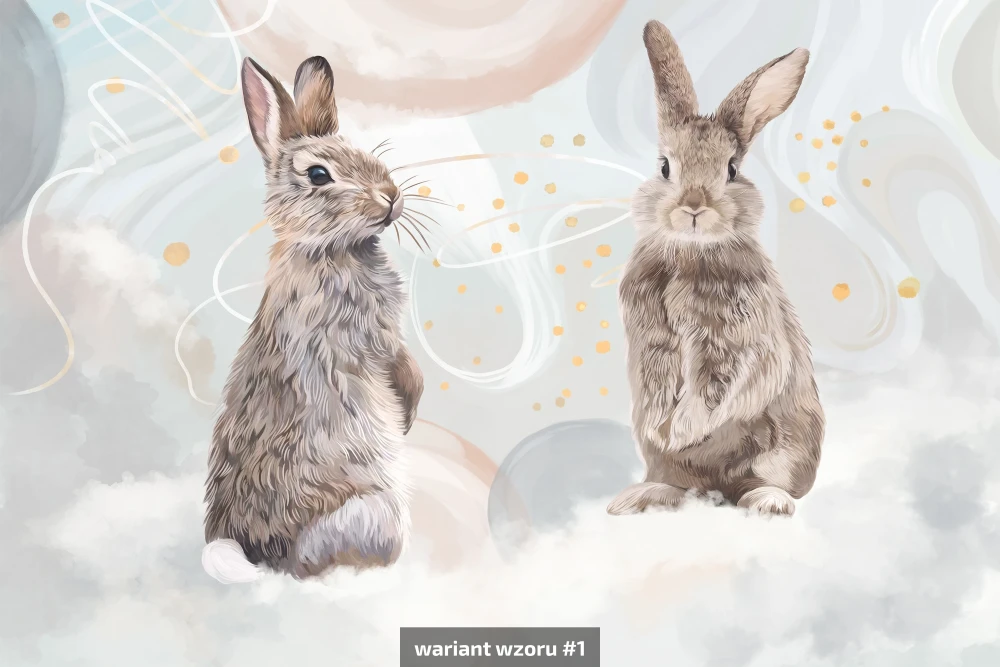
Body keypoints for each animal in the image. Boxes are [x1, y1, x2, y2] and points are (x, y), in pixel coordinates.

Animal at [202, 55, 424, 582]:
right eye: (319, 174)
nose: (390, 196)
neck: (328, 249)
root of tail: (255, 551)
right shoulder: (374, 338)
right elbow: (404, 371)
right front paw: (408, 414)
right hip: (374, 512)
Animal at [607, 21, 825, 518]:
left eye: (731, 169)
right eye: (664, 167)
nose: (693, 206)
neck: (689, 252)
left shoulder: (737, 342)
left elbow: (719, 388)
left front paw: (683, 428)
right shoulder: (651, 342)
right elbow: (658, 382)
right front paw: (664, 427)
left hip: (782, 453)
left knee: (764, 484)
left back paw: (768, 504)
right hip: (667, 465)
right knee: (678, 482)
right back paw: (639, 498)